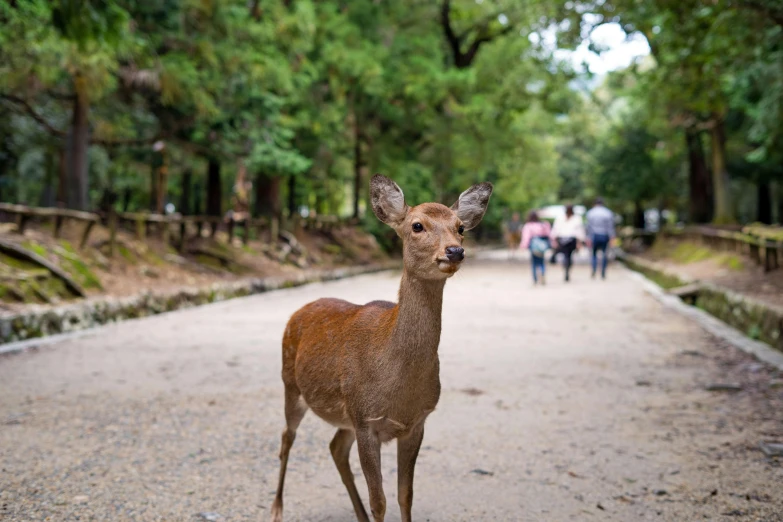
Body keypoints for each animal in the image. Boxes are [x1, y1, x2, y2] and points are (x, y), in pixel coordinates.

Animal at [270, 174, 490, 520]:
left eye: (461, 227)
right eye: (417, 226)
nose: (455, 251)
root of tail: (301, 308)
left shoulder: (417, 422)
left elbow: (405, 495)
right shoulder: (366, 421)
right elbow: (380, 500)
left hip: (344, 413)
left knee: (335, 447)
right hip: (290, 384)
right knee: (286, 438)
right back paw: (277, 508)